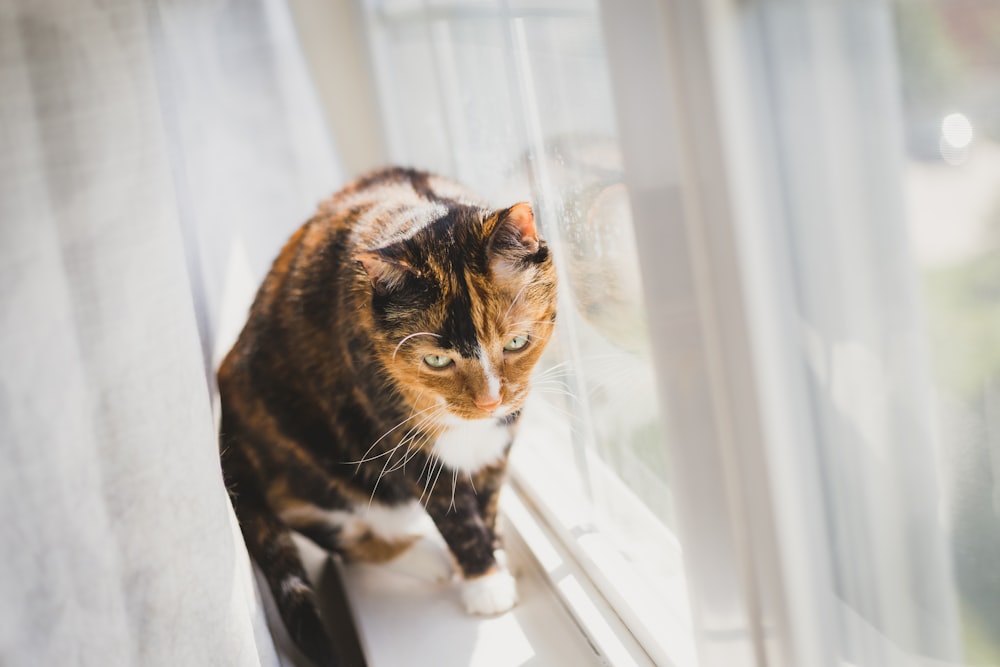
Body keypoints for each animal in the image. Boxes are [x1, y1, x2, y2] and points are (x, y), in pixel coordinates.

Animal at [219, 164, 560, 664]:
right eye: (436, 360)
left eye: (517, 342)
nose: (489, 402)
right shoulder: (400, 437)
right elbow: (453, 511)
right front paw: (484, 581)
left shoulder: (502, 433)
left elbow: (490, 492)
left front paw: (494, 547)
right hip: (313, 460)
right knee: (323, 527)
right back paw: (426, 559)